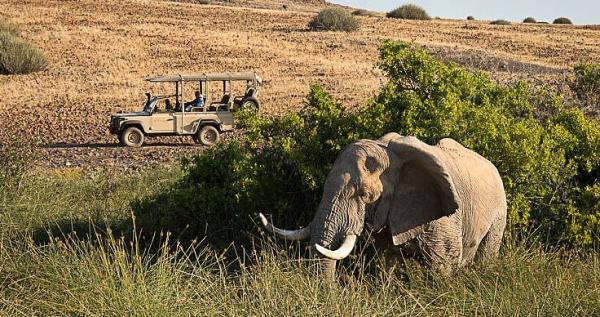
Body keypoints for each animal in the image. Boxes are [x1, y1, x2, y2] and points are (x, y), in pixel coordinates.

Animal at [258, 133, 506, 276]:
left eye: (365, 194)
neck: (389, 152)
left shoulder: (443, 218)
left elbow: (442, 266)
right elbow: (387, 263)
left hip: (500, 211)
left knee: (486, 255)